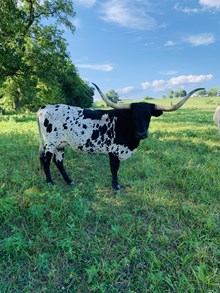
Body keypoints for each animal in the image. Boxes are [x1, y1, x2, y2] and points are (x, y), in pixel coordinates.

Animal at [37, 83, 203, 190]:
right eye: (134, 115)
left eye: (148, 116)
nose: (141, 133)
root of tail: (44, 108)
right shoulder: (114, 151)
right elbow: (114, 169)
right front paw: (115, 186)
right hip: (50, 143)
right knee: (46, 160)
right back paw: (50, 182)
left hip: (61, 144)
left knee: (58, 162)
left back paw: (69, 181)